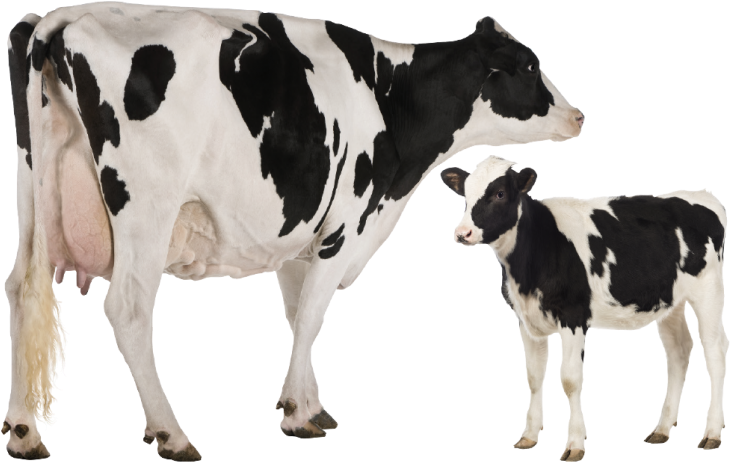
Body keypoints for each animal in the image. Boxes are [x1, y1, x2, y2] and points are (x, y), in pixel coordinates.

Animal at [5, 3, 583, 460]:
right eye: (529, 65)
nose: (577, 115)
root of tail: (66, 17)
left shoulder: (297, 245)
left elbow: (296, 314)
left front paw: (310, 403)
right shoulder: (343, 228)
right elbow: (310, 317)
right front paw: (298, 413)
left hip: (32, 195)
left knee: (21, 289)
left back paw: (23, 433)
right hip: (147, 207)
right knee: (127, 307)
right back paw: (171, 434)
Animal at [439, 156, 727, 461]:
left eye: (500, 194)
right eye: (465, 194)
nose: (463, 233)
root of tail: (701, 194)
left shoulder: (573, 316)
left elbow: (570, 379)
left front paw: (575, 444)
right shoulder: (527, 320)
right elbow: (533, 376)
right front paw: (528, 436)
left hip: (708, 291)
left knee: (715, 353)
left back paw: (712, 433)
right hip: (670, 301)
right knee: (679, 350)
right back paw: (661, 429)